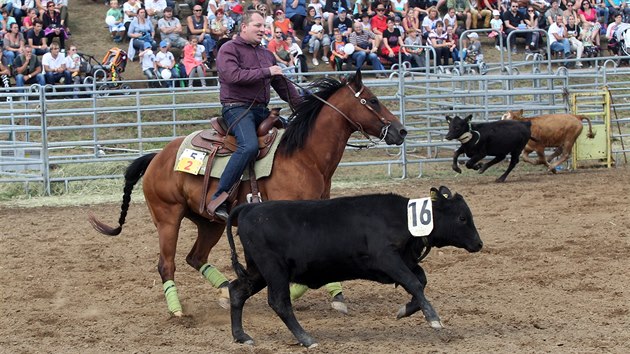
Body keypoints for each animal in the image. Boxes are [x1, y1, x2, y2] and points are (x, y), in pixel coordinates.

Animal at [89, 70, 410, 316]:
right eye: (373, 100)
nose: (401, 131)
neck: (303, 156)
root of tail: (158, 157)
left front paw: (333, 295)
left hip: (209, 223)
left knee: (195, 257)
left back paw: (225, 291)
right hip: (168, 218)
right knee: (166, 264)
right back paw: (177, 310)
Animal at [227, 188, 484, 348]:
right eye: (462, 218)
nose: (479, 243)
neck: (402, 218)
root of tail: (249, 209)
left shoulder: (405, 261)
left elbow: (420, 281)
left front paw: (405, 310)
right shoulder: (386, 258)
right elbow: (414, 282)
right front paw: (433, 318)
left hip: (258, 271)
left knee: (237, 291)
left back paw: (241, 336)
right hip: (274, 270)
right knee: (280, 303)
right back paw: (306, 339)